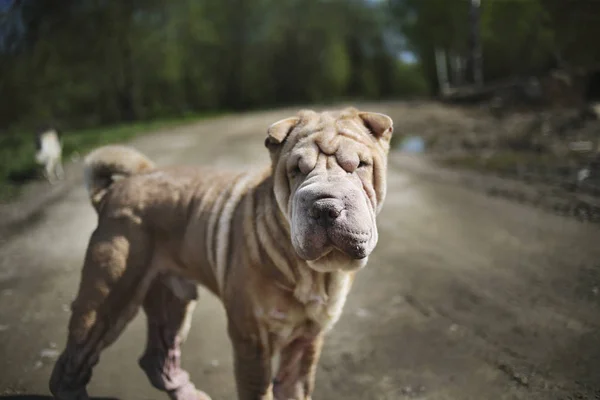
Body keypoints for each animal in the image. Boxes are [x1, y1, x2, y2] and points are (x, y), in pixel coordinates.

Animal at [50, 107, 394, 400]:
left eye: (359, 165)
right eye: (296, 171)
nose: (324, 206)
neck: (311, 273)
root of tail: (113, 191)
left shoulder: (305, 342)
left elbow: (295, 388)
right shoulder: (251, 340)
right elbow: (258, 390)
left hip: (172, 301)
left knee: (156, 357)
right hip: (108, 300)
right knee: (72, 362)